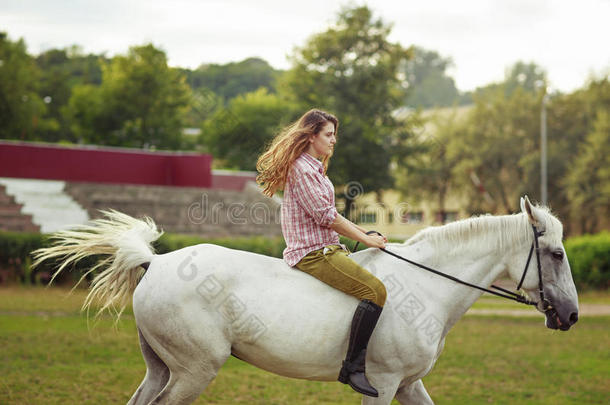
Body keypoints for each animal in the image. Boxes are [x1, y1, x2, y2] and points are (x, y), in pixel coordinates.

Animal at [33, 194, 576, 402]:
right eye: (555, 253)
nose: (570, 315)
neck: (428, 286)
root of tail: (158, 263)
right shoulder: (384, 384)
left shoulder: (408, 384)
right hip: (193, 369)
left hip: (161, 366)